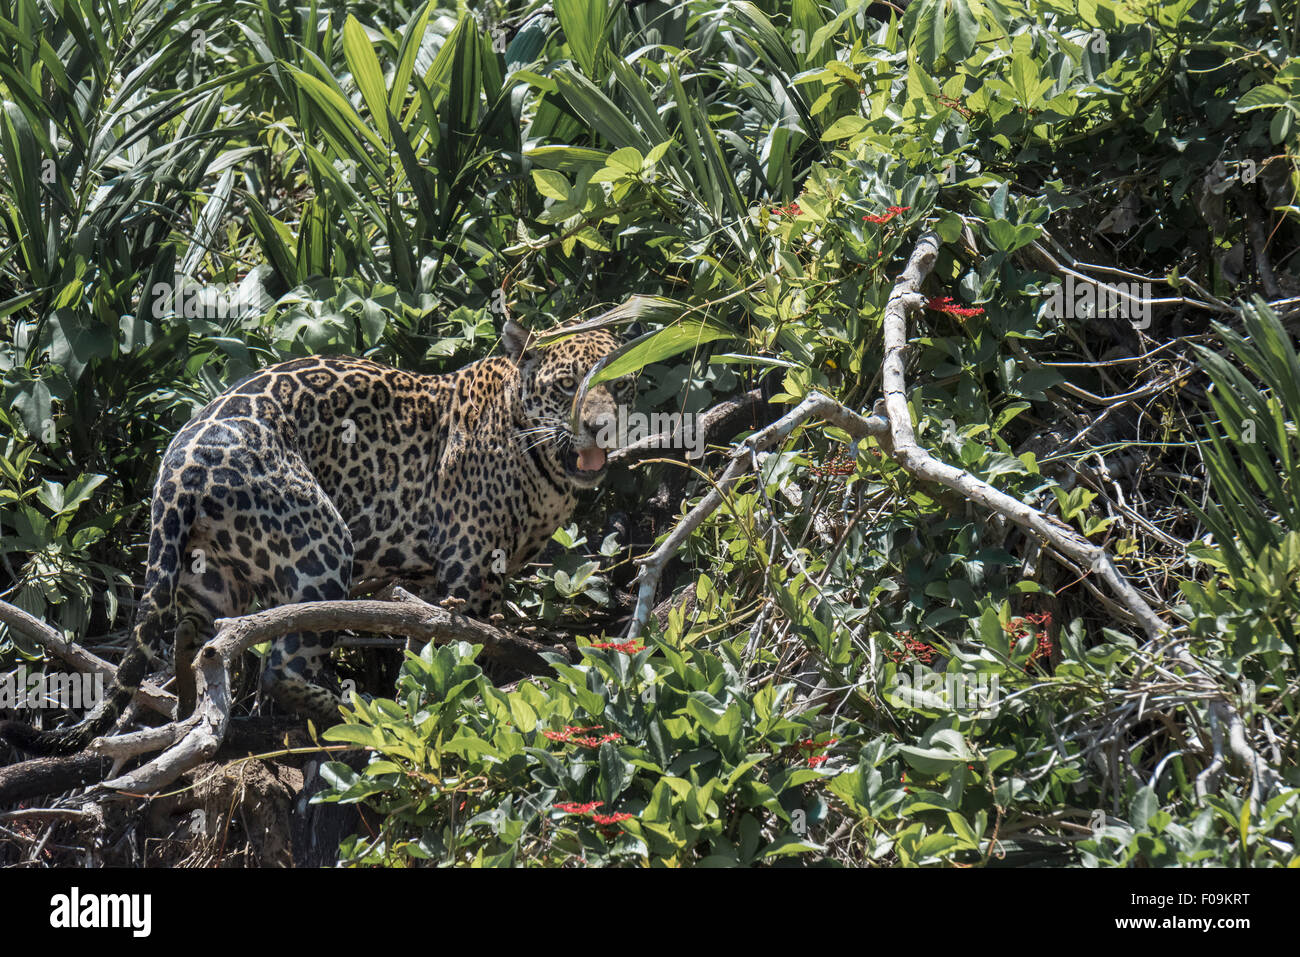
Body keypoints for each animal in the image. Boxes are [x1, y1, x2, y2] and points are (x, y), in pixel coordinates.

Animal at [1, 320, 632, 756]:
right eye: (567, 386)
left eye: (621, 383)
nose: (602, 425)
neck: (543, 463)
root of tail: (182, 459)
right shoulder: (472, 566)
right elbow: (464, 646)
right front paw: (457, 704)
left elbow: (432, 644)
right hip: (321, 548)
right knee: (282, 664)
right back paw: (355, 715)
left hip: (212, 575)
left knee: (192, 641)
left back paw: (189, 711)